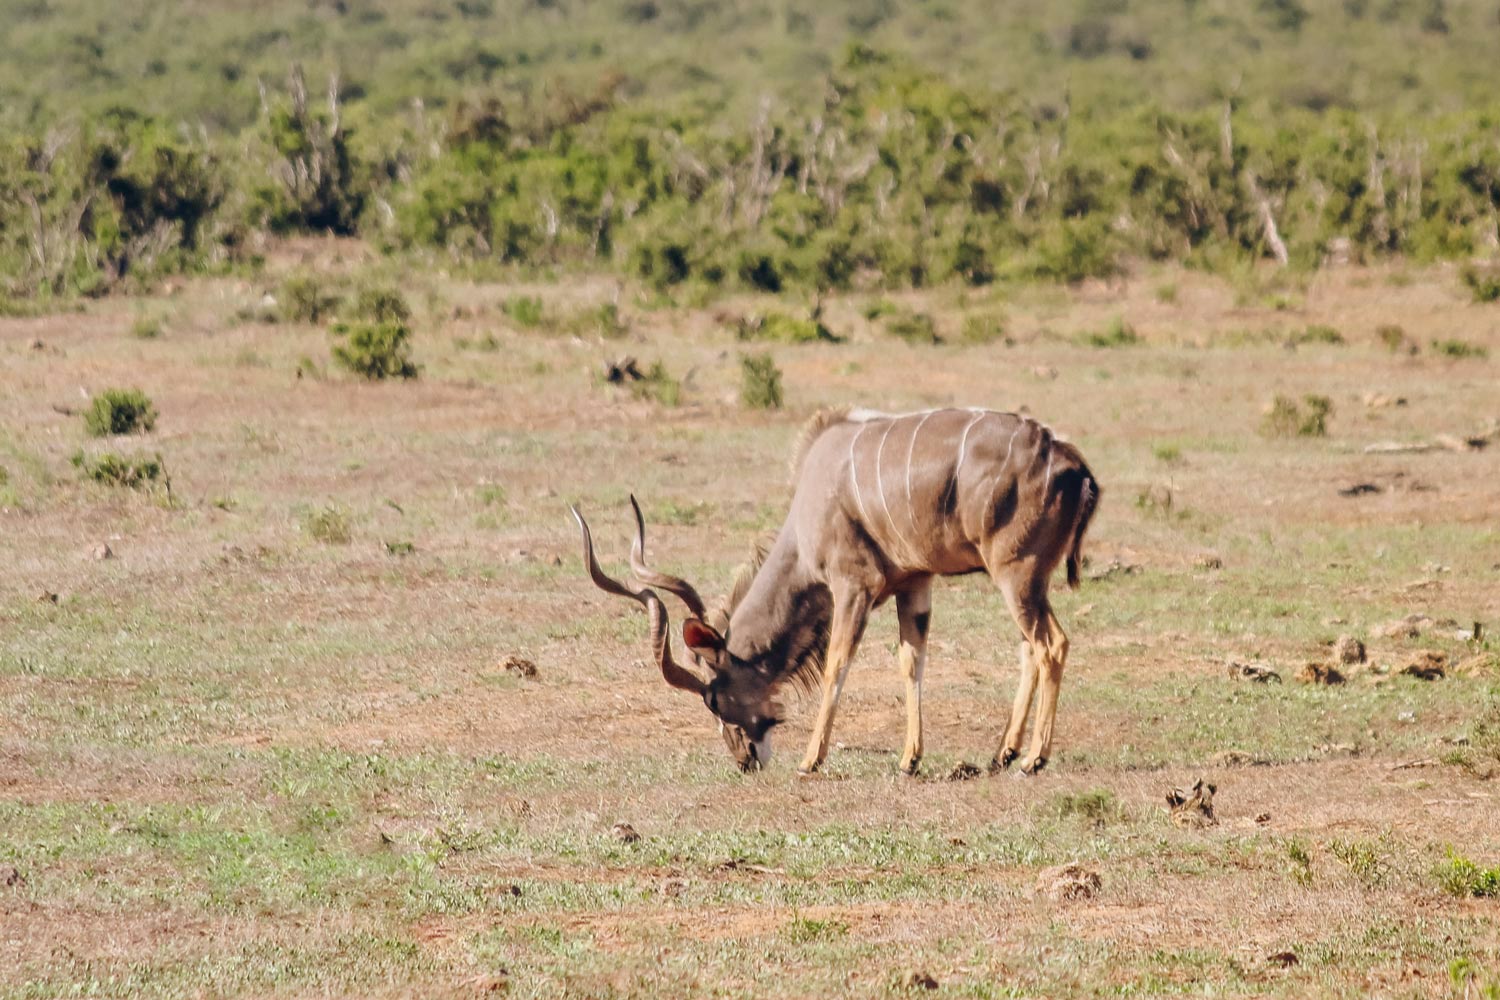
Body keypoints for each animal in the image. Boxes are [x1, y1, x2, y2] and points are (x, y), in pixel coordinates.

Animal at [573, 404, 1104, 773]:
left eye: (714, 699)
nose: (745, 759)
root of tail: (1071, 461)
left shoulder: (853, 585)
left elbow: (837, 665)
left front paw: (811, 759)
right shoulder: (915, 583)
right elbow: (912, 661)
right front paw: (909, 760)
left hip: (1016, 573)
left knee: (1051, 645)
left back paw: (1033, 758)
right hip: (1027, 581)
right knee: (1029, 649)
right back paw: (1004, 752)